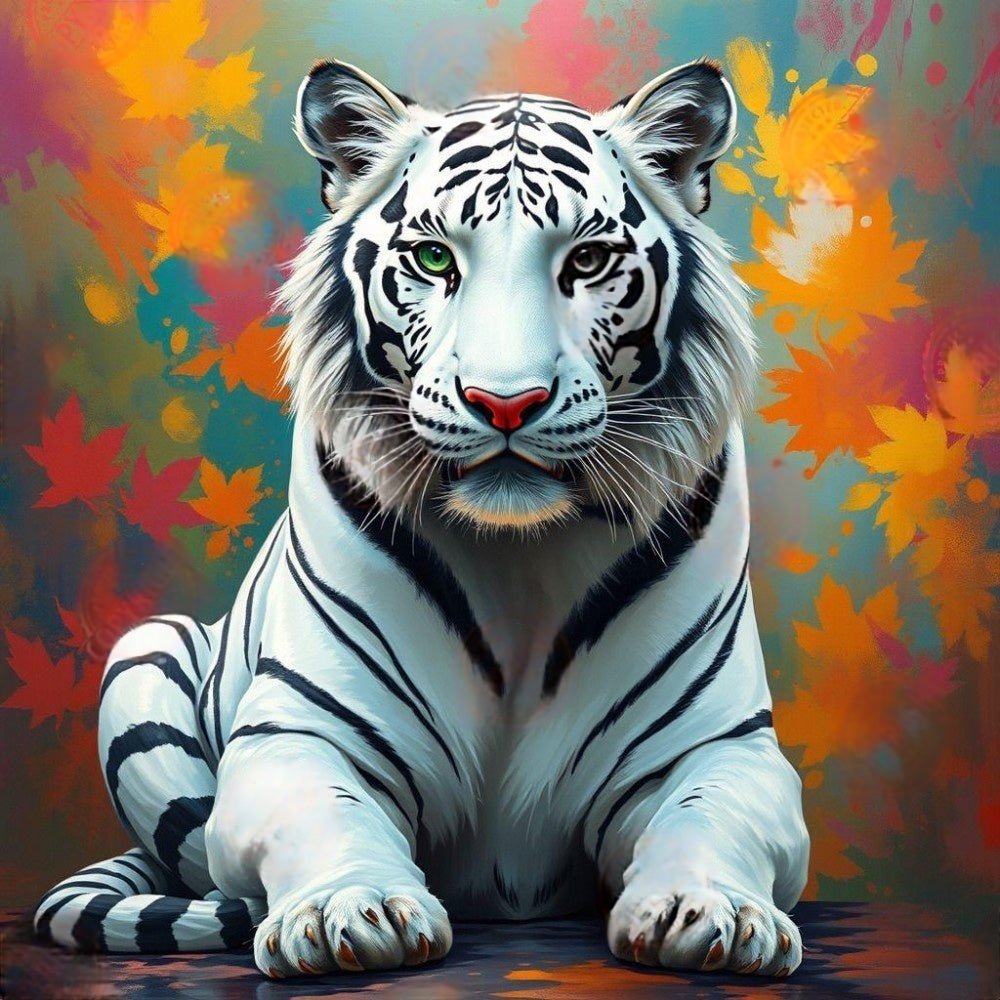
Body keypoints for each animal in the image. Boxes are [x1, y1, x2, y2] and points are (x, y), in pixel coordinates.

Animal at [35, 58, 809, 979]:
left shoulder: (720, 746)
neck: (521, 569)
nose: (505, 402)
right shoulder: (298, 732)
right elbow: (325, 811)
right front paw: (349, 909)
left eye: (586, 259)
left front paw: (708, 910)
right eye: (434, 256)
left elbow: (708, 819)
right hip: (141, 653)